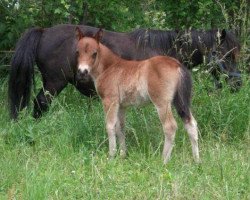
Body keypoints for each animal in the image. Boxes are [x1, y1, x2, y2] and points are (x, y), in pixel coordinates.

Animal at [74, 27, 199, 164]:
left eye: (94, 53)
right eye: (77, 52)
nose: (82, 72)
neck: (109, 68)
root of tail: (177, 65)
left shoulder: (110, 101)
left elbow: (110, 126)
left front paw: (111, 156)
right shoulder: (121, 105)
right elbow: (120, 128)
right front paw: (123, 155)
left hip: (162, 103)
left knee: (170, 126)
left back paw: (164, 160)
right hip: (181, 101)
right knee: (191, 124)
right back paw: (197, 160)